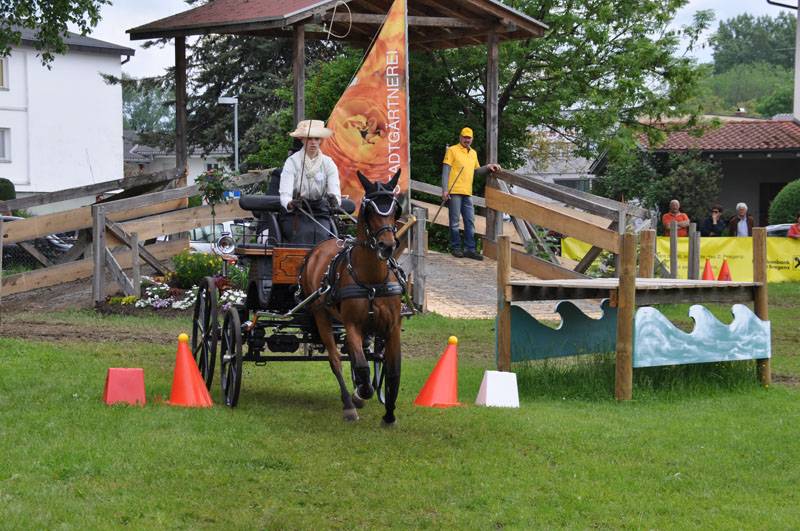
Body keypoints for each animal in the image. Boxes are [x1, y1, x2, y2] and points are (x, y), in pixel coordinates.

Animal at [299, 169, 404, 425]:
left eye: (395, 209)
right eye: (369, 209)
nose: (387, 245)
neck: (371, 281)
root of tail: (321, 247)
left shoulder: (392, 326)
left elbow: (392, 370)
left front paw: (389, 414)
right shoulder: (352, 325)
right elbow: (361, 366)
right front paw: (362, 393)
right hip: (321, 315)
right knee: (336, 359)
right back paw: (349, 403)